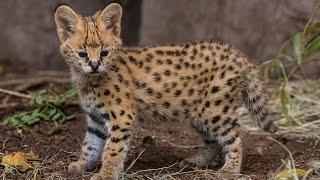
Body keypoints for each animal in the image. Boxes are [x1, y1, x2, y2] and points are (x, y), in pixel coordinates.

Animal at [53, 3, 276, 180]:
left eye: (104, 52)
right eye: (82, 54)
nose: (94, 65)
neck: (89, 81)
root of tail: (239, 55)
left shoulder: (122, 117)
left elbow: (113, 149)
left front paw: (106, 174)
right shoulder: (96, 119)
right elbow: (90, 145)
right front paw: (83, 164)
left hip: (215, 110)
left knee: (235, 139)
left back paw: (230, 170)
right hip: (200, 113)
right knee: (213, 141)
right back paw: (196, 161)